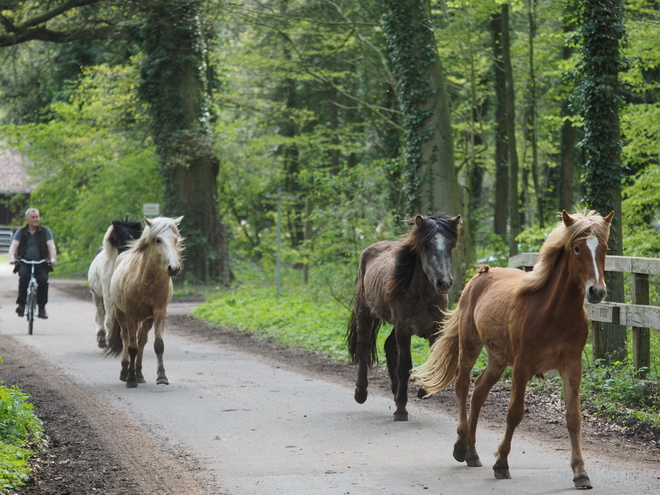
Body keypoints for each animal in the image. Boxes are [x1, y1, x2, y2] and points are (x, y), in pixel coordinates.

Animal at [88, 217, 142, 348]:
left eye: (135, 238)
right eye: (120, 240)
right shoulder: (108, 297)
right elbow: (109, 320)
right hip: (96, 295)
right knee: (100, 315)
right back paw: (102, 338)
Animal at [104, 216, 184, 388]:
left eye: (175, 239)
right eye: (157, 239)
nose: (173, 268)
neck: (146, 282)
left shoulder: (159, 313)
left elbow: (158, 345)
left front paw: (162, 377)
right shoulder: (131, 315)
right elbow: (131, 347)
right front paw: (130, 379)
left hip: (147, 319)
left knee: (141, 340)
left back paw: (139, 373)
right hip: (121, 315)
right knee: (126, 338)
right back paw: (125, 371)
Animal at [348, 213, 462, 422]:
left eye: (450, 244)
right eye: (427, 245)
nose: (444, 283)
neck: (423, 295)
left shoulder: (435, 329)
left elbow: (433, 360)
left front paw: (424, 391)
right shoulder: (404, 329)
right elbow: (405, 365)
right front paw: (401, 409)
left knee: (389, 347)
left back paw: (395, 392)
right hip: (365, 312)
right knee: (363, 348)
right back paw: (361, 393)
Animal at [416, 208, 616, 488]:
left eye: (604, 248)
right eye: (577, 248)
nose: (596, 291)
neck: (553, 313)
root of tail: (481, 275)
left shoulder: (572, 367)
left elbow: (574, 418)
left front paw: (580, 472)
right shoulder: (522, 367)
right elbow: (514, 413)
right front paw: (501, 464)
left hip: (498, 359)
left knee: (479, 393)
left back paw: (472, 453)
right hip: (470, 346)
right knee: (462, 386)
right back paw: (461, 446)